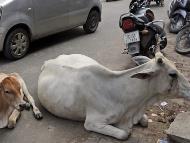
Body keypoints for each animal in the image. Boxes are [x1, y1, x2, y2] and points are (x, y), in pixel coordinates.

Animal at [37, 52, 190, 140]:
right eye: (172, 74)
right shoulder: (92, 122)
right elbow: (124, 134)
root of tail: (48, 62)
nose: (189, 88)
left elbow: (145, 121)